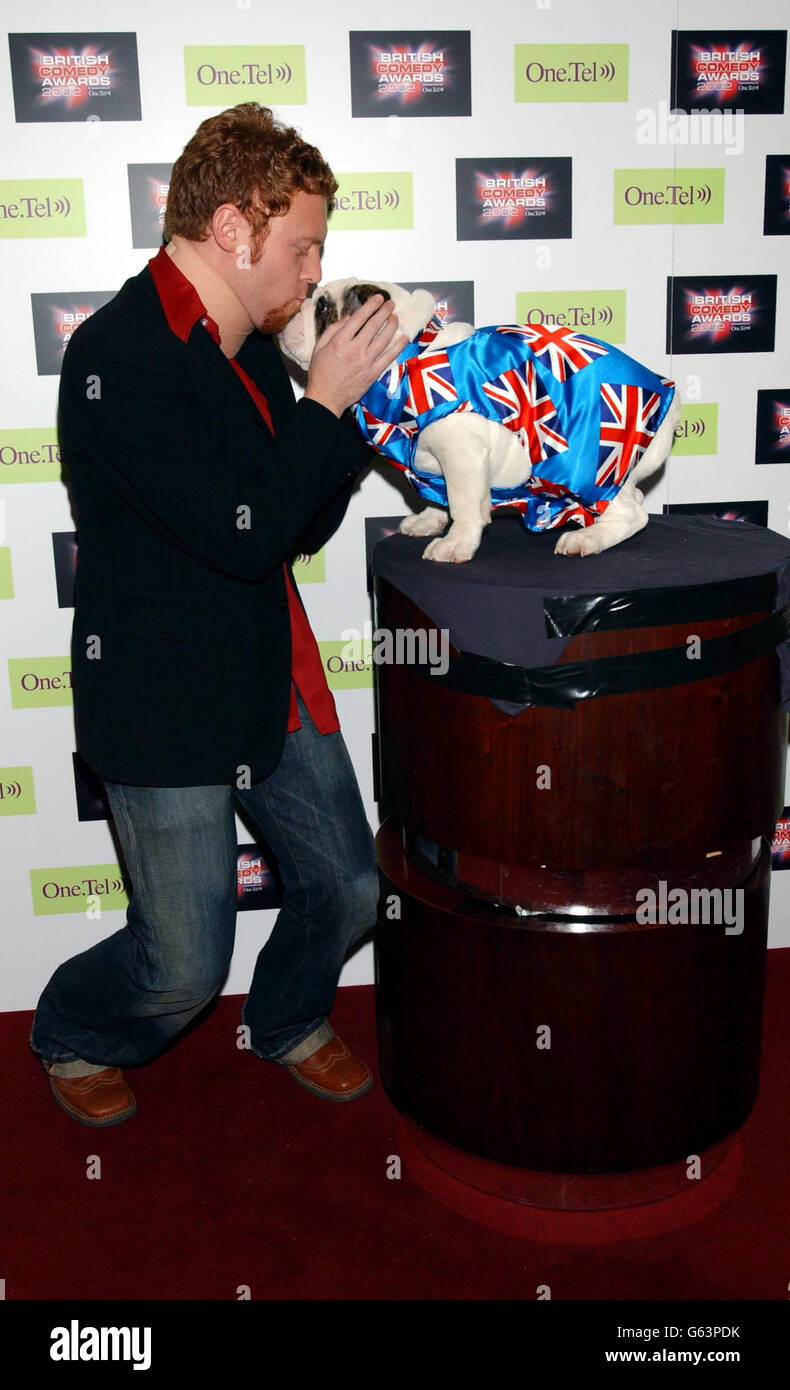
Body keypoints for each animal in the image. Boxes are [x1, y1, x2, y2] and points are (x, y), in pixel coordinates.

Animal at [280, 276, 681, 558]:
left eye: (321, 309)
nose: (293, 310)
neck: (405, 357)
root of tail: (669, 403)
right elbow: (441, 494)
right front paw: (431, 519)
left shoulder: (461, 453)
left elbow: (463, 502)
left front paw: (456, 543)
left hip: (591, 466)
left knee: (632, 511)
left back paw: (589, 538)